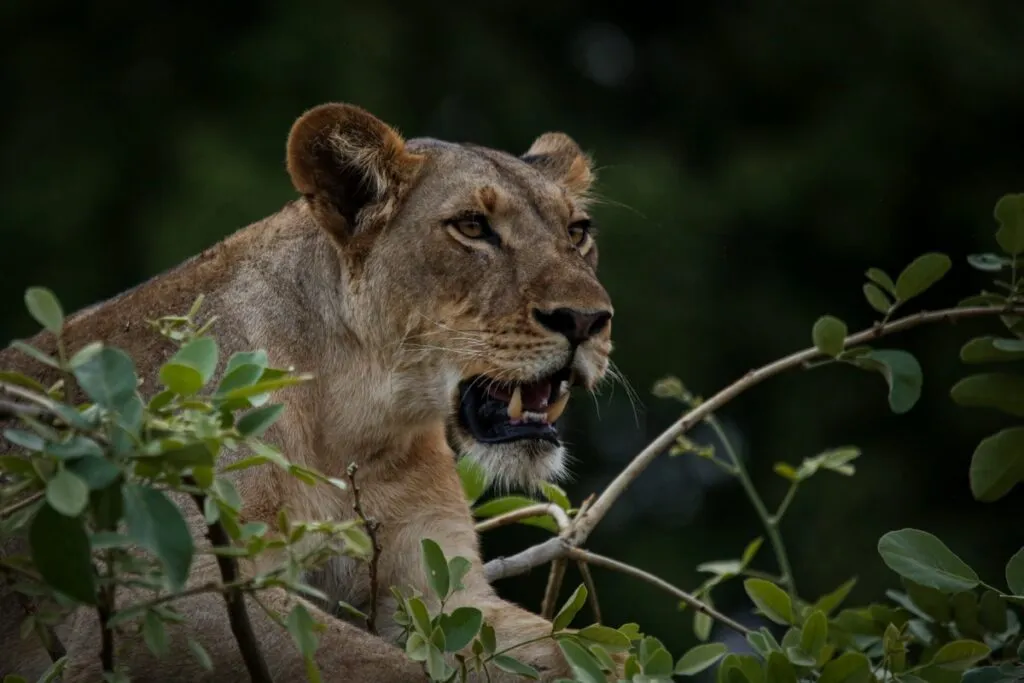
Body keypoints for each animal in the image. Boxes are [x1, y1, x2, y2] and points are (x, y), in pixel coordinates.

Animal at [0, 102, 616, 682]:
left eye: (577, 232)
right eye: (471, 226)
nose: (587, 321)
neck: (356, 422)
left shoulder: (443, 591)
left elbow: (572, 651)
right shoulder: (162, 588)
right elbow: (379, 667)